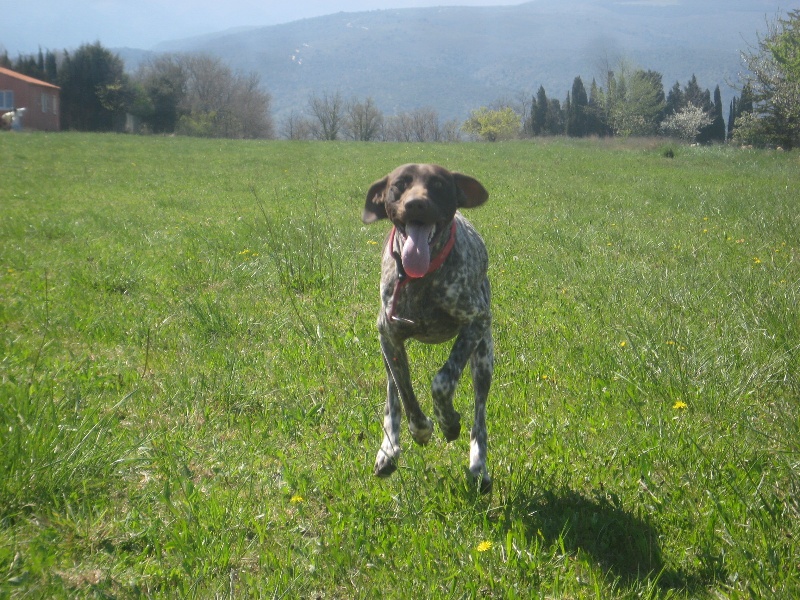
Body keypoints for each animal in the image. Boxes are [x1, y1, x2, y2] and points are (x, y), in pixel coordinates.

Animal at [364, 163, 494, 492]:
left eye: (438, 185)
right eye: (399, 185)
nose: (416, 204)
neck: (420, 279)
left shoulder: (475, 322)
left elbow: (442, 381)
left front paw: (448, 422)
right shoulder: (389, 337)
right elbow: (405, 396)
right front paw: (420, 431)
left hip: (484, 359)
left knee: (479, 419)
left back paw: (478, 467)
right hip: (388, 353)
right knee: (392, 397)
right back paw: (388, 450)